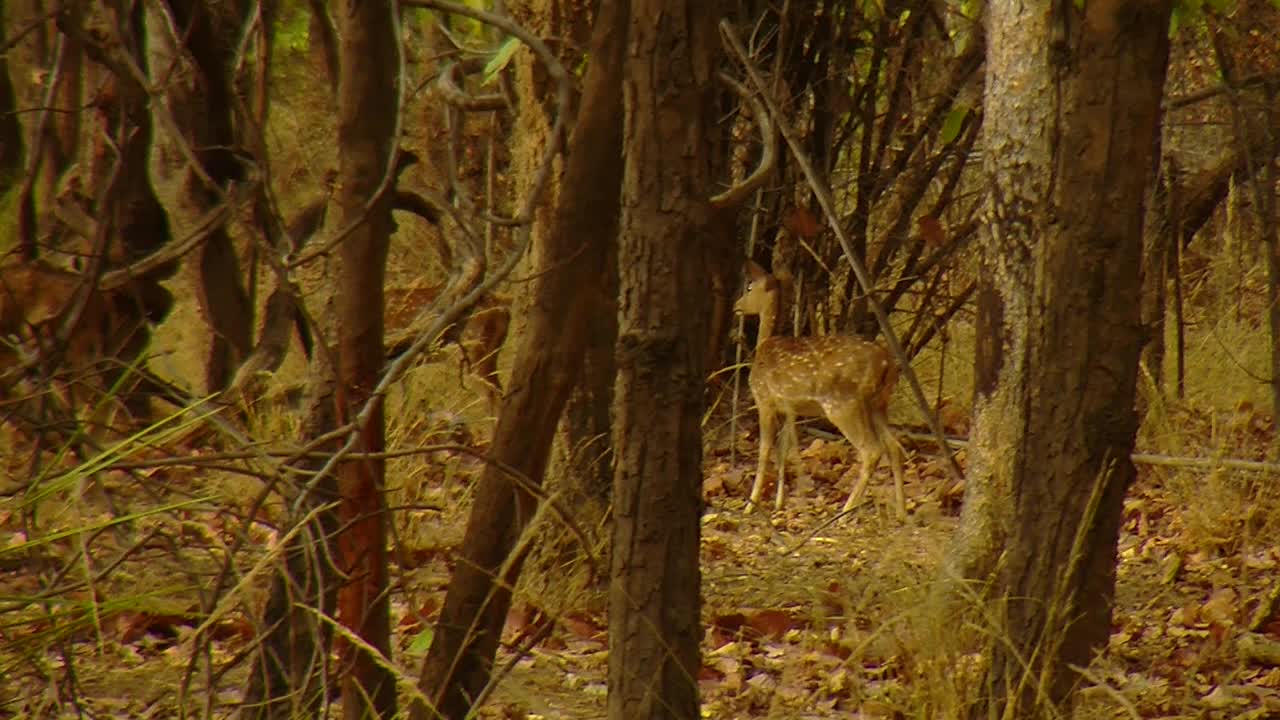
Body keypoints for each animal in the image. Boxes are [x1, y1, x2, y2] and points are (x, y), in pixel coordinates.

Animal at [737, 260, 906, 512]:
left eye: (749, 287)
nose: (736, 306)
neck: (763, 345)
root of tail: (887, 363)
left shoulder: (764, 399)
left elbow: (764, 449)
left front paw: (750, 505)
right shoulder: (790, 410)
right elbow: (784, 450)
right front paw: (779, 503)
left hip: (843, 404)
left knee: (871, 450)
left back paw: (846, 512)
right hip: (879, 404)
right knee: (894, 447)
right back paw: (902, 513)